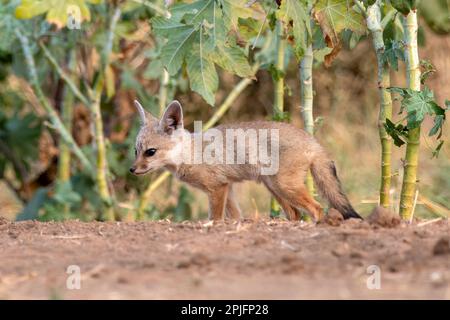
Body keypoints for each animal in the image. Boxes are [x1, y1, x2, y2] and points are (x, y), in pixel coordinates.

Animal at [130, 100, 362, 222]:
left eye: (150, 152)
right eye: (136, 151)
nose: (132, 170)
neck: (191, 153)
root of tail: (313, 141)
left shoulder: (217, 188)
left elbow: (215, 218)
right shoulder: (228, 188)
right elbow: (236, 217)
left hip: (285, 187)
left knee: (317, 208)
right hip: (276, 189)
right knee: (295, 214)